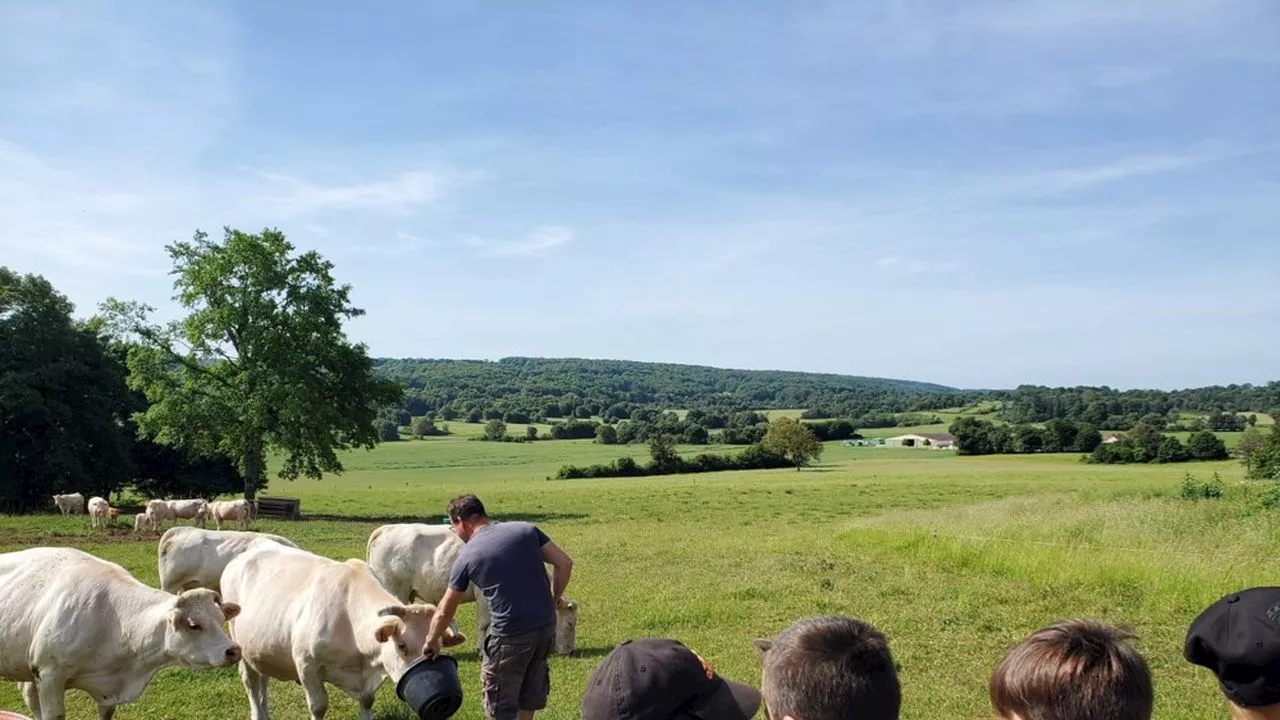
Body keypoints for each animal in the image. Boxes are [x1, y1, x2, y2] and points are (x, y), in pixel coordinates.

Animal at [222, 538, 468, 717]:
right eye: (401, 646)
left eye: (437, 646)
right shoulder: (306, 665)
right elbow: (318, 706)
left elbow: (367, 701)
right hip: (241, 648)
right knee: (251, 682)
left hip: (259, 651)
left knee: (262, 681)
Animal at [363, 517, 578, 653]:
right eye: (570, 623)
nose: (568, 651)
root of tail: (387, 528)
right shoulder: (483, 595)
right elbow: (484, 623)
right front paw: (481, 649)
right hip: (393, 590)